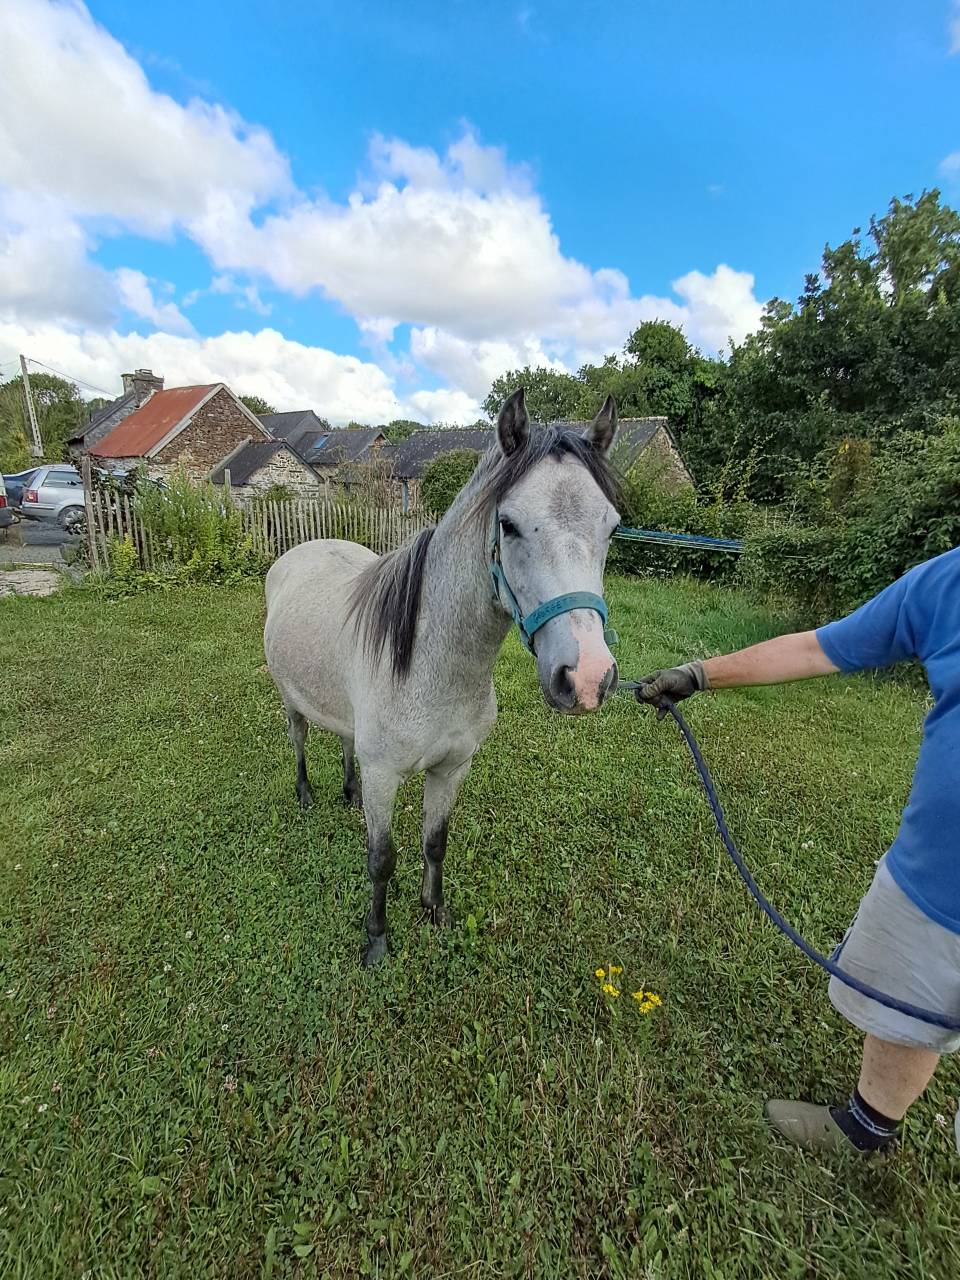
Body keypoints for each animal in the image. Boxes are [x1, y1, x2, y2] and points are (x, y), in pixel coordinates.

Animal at [263, 388, 622, 964]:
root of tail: (298, 552)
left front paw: (435, 910)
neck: (433, 667)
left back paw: (346, 792)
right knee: (298, 736)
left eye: (611, 527)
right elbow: (381, 858)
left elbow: (435, 841)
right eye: (509, 524)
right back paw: (305, 794)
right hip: (290, 699)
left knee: (344, 741)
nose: (587, 677)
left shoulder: (452, 769)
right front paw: (377, 939)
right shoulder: (384, 777)